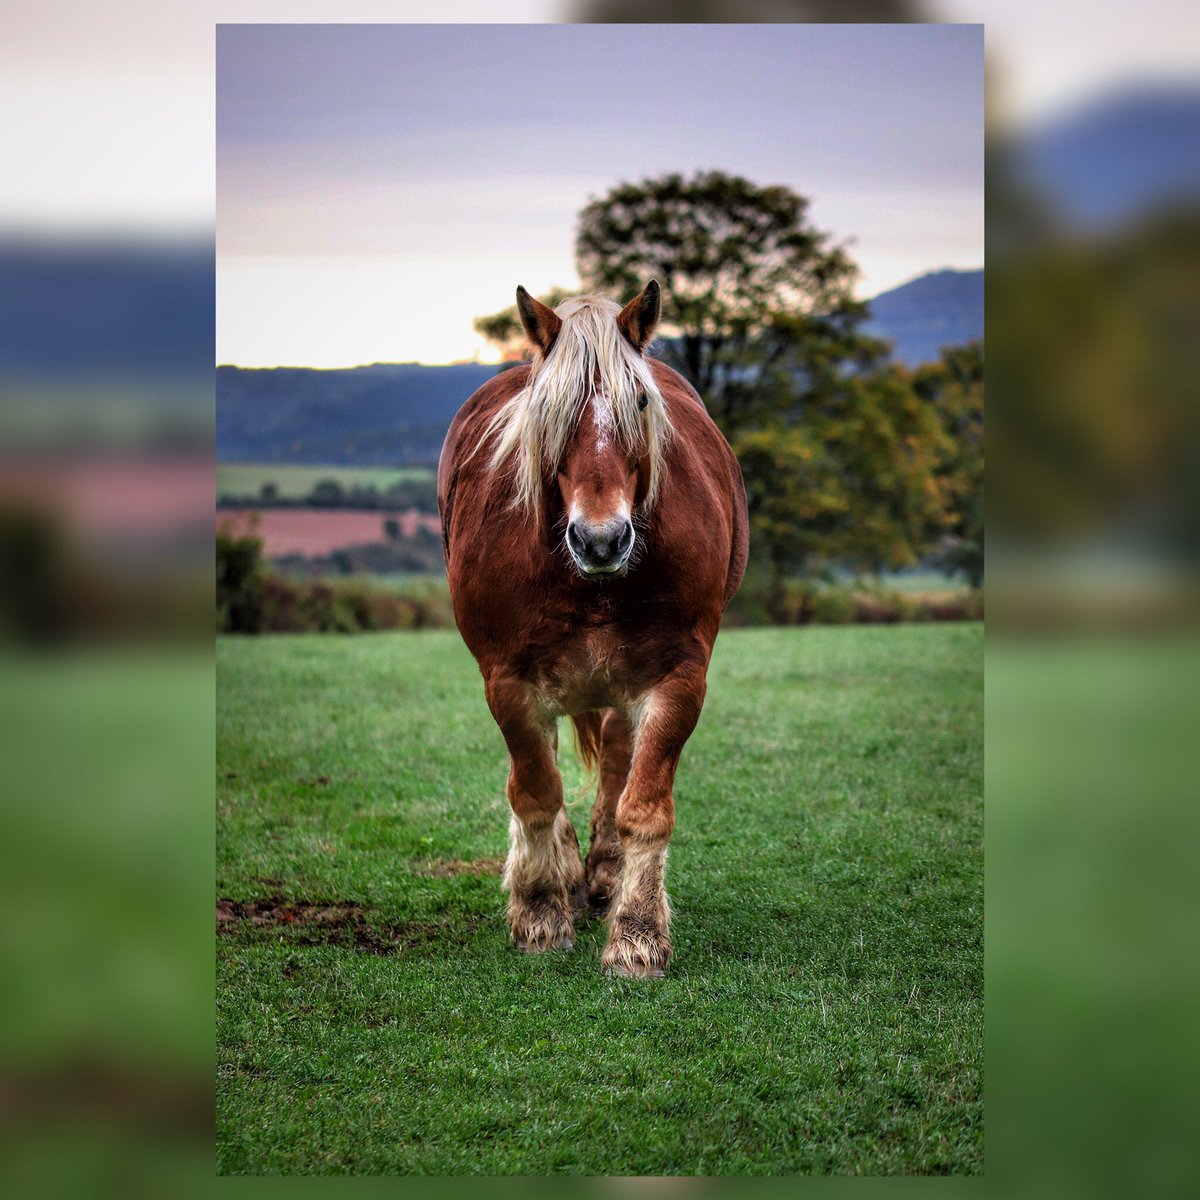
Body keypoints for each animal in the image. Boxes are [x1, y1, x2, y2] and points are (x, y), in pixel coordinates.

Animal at [437, 281, 748, 976]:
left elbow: (644, 806)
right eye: (546, 409)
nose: (600, 539)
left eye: (639, 400)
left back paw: (604, 875)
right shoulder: (509, 681)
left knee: (613, 759)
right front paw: (540, 910)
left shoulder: (678, 678)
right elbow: (535, 791)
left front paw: (637, 934)